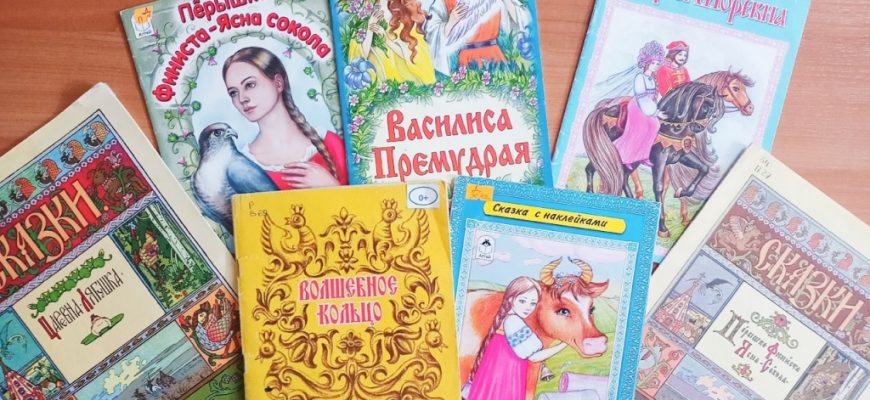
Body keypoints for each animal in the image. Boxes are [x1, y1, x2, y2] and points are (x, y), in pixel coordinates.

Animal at [582, 81, 726, 236]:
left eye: (713, 111)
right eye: (706, 105)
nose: (698, 128)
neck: (671, 127)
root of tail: (606, 109)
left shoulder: (681, 156)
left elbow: (704, 168)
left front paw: (681, 192)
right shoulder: (659, 160)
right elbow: (658, 188)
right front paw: (662, 228)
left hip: (631, 160)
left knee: (623, 178)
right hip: (606, 151)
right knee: (592, 169)